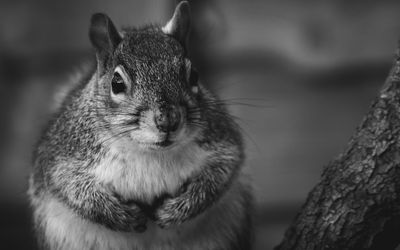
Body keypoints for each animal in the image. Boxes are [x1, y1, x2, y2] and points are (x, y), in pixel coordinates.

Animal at [28, 2, 253, 250]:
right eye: (116, 83)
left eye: (194, 76)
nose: (167, 120)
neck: (149, 151)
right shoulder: (63, 154)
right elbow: (73, 188)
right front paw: (121, 215)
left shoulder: (222, 141)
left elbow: (220, 175)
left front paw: (176, 211)